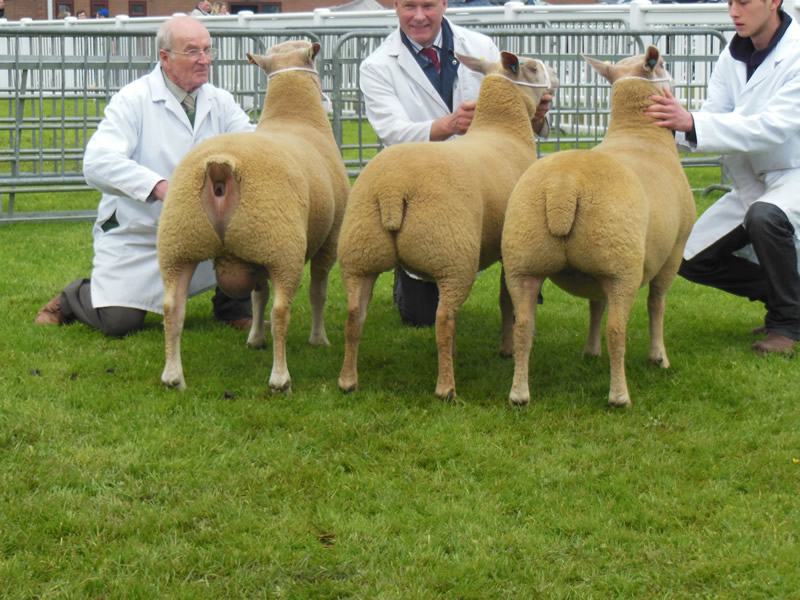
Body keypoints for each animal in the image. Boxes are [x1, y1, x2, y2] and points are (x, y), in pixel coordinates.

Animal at [158, 39, 348, 392]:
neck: (294, 116)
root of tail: (220, 166)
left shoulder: (256, 255)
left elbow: (258, 296)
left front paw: (255, 339)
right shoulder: (329, 240)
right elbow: (318, 293)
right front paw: (319, 339)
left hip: (180, 242)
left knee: (172, 307)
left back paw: (173, 376)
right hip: (282, 245)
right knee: (282, 310)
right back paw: (280, 379)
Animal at [336, 50, 556, 398]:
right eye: (533, 67)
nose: (556, 76)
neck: (503, 128)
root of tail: (392, 189)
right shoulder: (510, 248)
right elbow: (505, 300)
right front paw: (506, 348)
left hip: (360, 252)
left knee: (355, 315)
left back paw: (347, 381)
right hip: (451, 254)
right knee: (442, 319)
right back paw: (446, 386)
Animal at [504, 47, 696, 410]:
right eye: (664, 64)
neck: (639, 133)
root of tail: (564, 186)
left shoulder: (593, 274)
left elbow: (595, 305)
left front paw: (590, 352)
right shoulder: (674, 251)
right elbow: (657, 304)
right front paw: (659, 357)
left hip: (524, 259)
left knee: (522, 326)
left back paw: (519, 394)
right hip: (621, 263)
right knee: (617, 331)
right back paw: (619, 396)